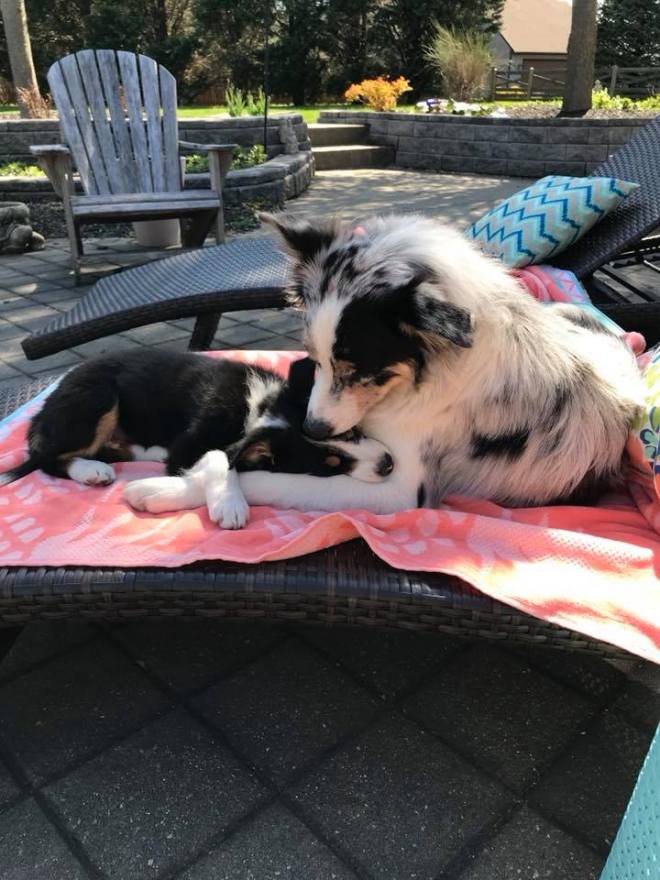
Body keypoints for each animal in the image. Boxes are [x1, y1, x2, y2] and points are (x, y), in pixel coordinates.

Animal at [0, 349, 393, 528]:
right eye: (329, 466)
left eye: (352, 431)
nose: (389, 465)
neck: (256, 409)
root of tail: (45, 409)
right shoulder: (190, 445)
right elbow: (221, 457)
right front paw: (230, 506)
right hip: (97, 397)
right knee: (48, 459)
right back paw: (91, 470)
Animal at [123, 213, 645, 523]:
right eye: (314, 358)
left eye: (357, 367)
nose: (313, 428)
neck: (425, 375)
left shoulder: (402, 493)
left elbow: (258, 475)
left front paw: (162, 489)